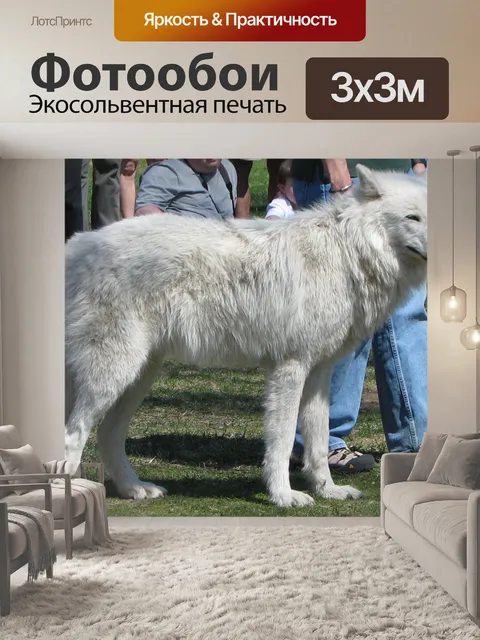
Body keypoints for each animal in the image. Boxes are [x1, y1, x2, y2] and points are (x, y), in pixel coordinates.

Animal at [64, 165, 427, 508]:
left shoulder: (319, 373)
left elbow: (318, 442)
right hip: (113, 374)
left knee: (108, 435)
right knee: (74, 433)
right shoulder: (290, 368)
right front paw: (284, 496)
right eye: (413, 218)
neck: (346, 252)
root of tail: (78, 245)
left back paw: (134, 489)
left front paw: (328, 490)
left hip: (138, 376)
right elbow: (282, 440)